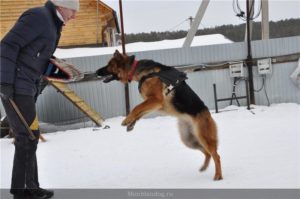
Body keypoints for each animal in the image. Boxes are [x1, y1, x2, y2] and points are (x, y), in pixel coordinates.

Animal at [96, 50, 223, 180]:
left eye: (109, 65)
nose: (96, 72)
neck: (137, 70)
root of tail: (208, 114)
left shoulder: (156, 100)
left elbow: (136, 108)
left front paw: (127, 119)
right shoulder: (153, 103)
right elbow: (140, 112)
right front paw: (131, 123)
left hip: (204, 138)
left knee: (216, 155)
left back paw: (218, 175)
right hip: (189, 140)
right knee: (208, 153)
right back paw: (204, 167)